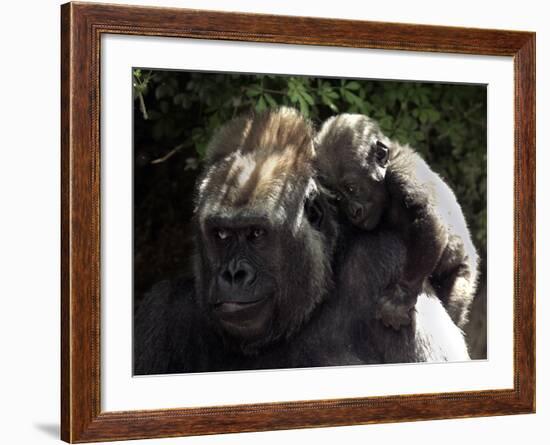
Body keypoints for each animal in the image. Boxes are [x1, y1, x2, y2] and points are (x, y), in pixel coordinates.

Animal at [316, 114, 480, 330]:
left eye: (351, 188)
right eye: (337, 196)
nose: (353, 212)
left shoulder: (403, 173)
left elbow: (428, 218)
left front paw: (400, 297)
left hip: (465, 273)